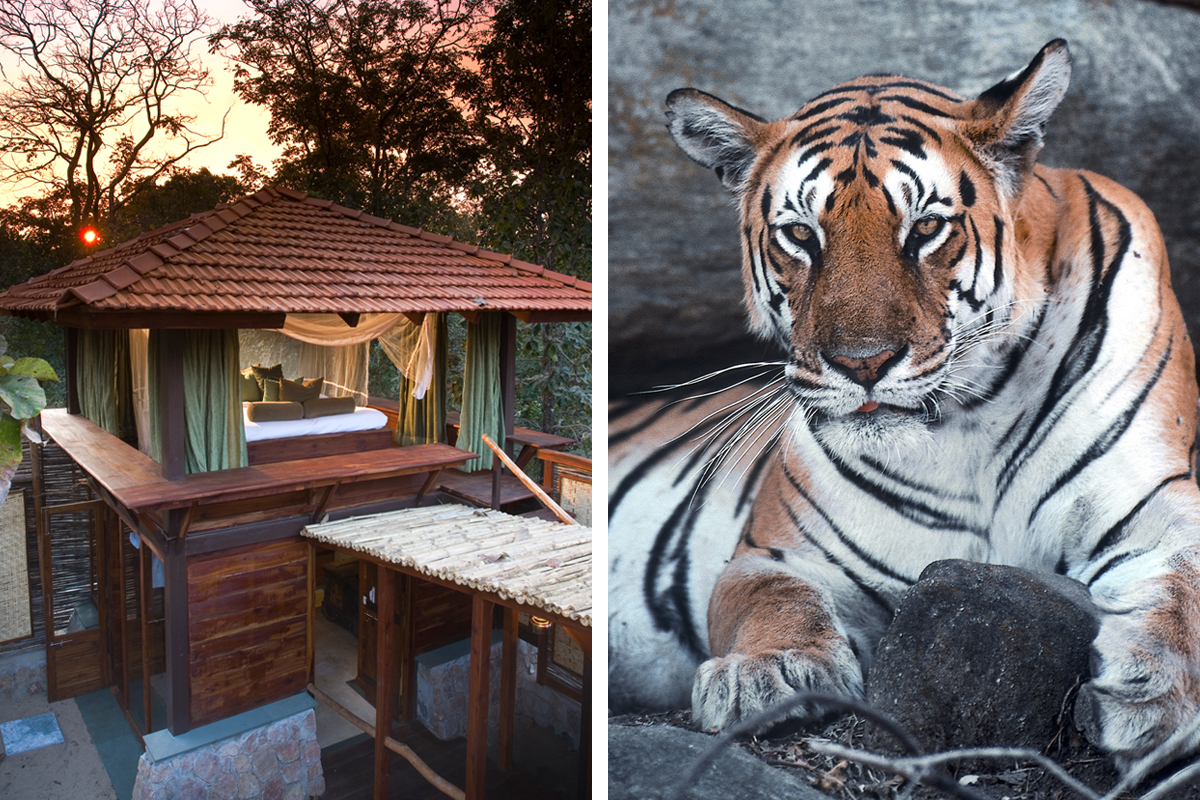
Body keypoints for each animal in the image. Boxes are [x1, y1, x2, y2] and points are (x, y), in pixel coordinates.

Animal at [608, 39, 1200, 771]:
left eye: (926, 228)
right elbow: (775, 604)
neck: (974, 419)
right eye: (800, 235)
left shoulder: (1153, 499)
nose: (862, 362)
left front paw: (1157, 694)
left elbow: (1187, 585)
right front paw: (766, 672)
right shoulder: (778, 554)